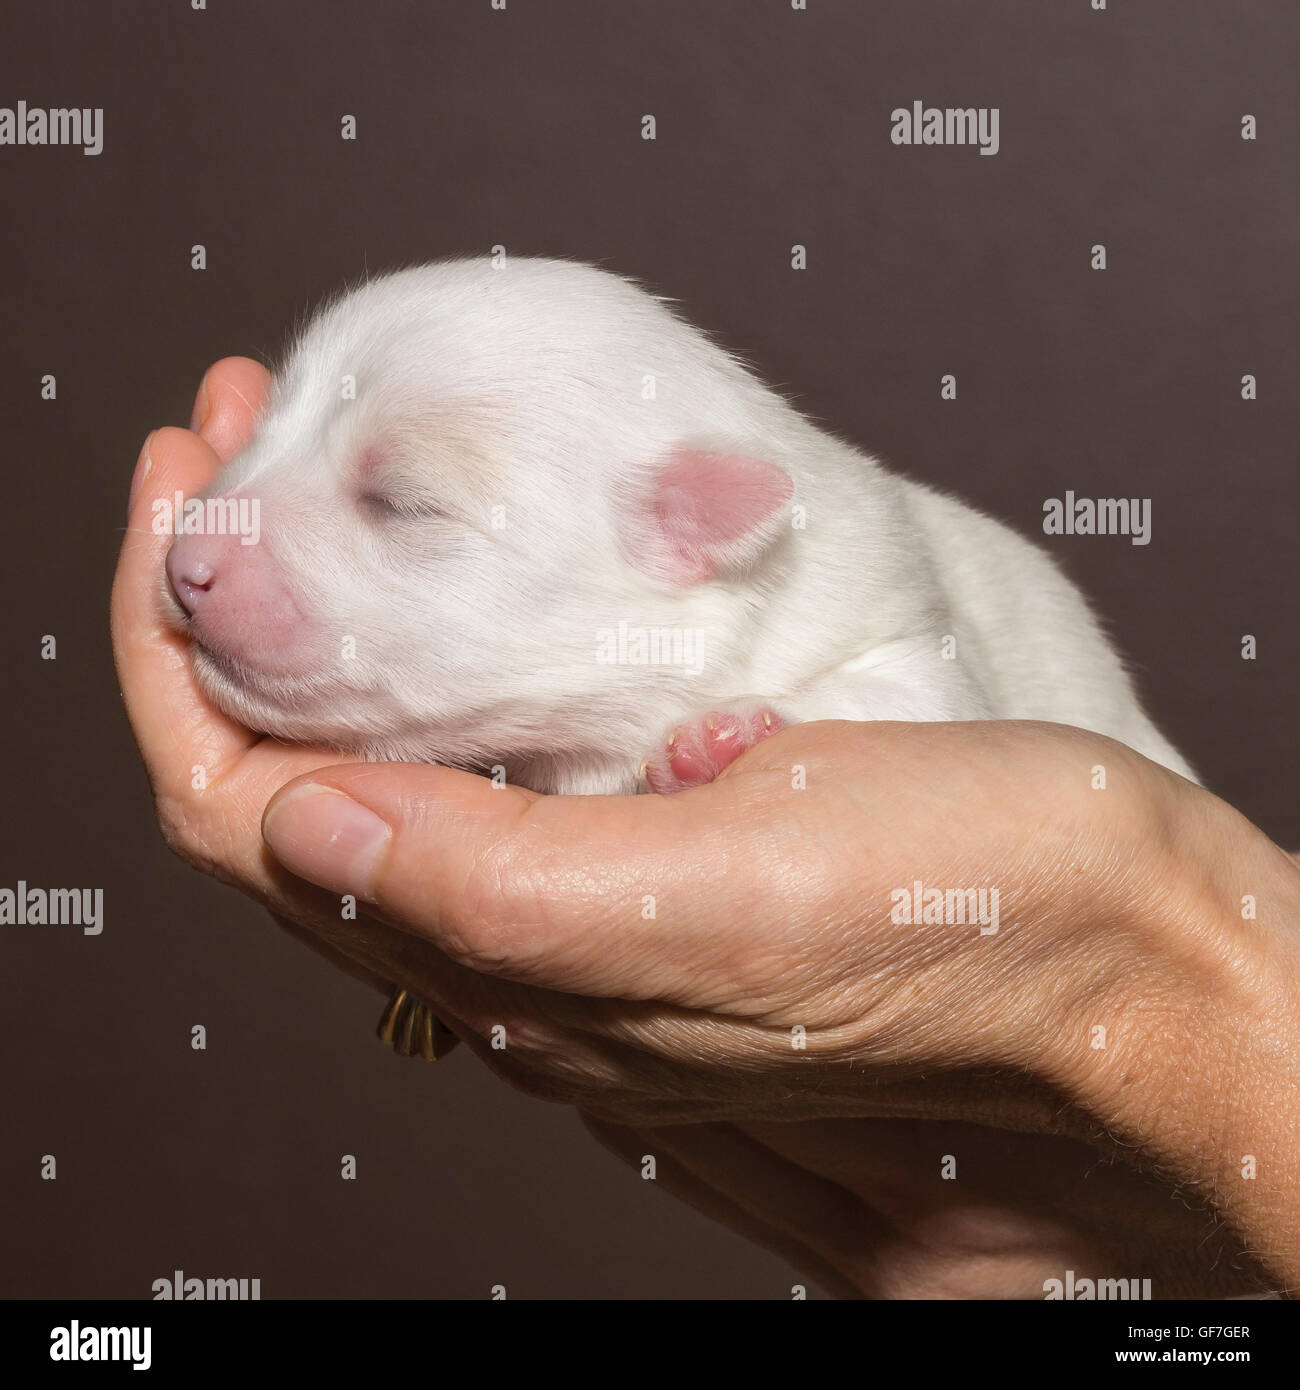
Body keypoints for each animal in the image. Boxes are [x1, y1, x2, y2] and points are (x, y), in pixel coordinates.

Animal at [165, 258, 1201, 795]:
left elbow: (916, 695)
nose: (183, 566)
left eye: (400, 501)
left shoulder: (910, 627)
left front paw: (731, 734)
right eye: (263, 428)